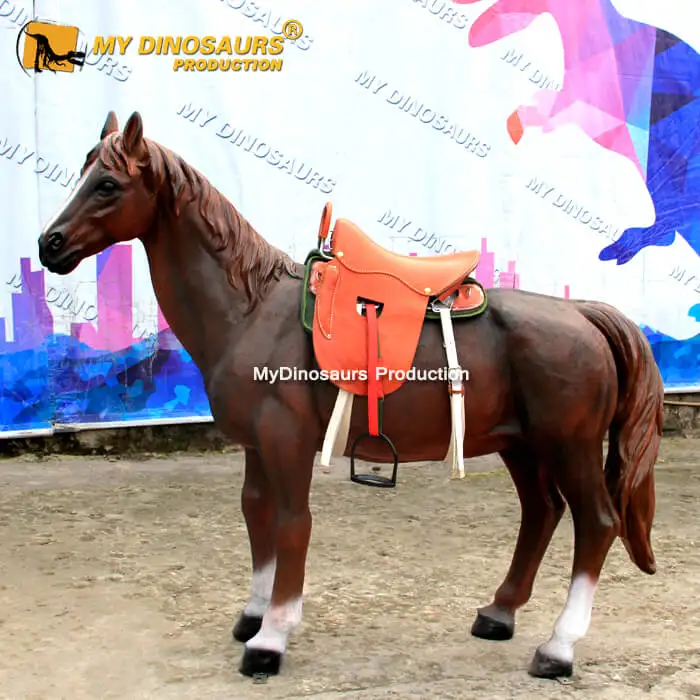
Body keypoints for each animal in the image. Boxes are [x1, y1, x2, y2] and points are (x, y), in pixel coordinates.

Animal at [37, 110, 664, 681]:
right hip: (520, 444)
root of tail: (584, 315)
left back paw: (558, 648)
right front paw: (255, 612)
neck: (251, 310)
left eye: (108, 184)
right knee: (541, 512)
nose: (49, 244)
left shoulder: (286, 441)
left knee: (596, 523)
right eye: (83, 174)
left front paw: (272, 637)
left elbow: (292, 523)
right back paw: (499, 612)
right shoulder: (256, 445)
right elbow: (256, 514)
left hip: (569, 446)